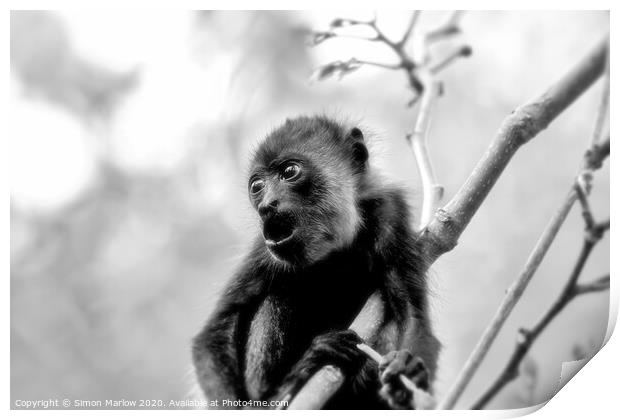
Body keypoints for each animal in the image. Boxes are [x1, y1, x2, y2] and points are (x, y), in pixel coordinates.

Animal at [191, 115, 438, 410]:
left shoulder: (390, 212)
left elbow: (413, 314)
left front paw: (409, 370)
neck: (335, 245)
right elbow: (212, 335)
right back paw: (293, 380)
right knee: (278, 297)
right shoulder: (264, 251)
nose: (266, 205)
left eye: (289, 171)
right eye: (257, 187)